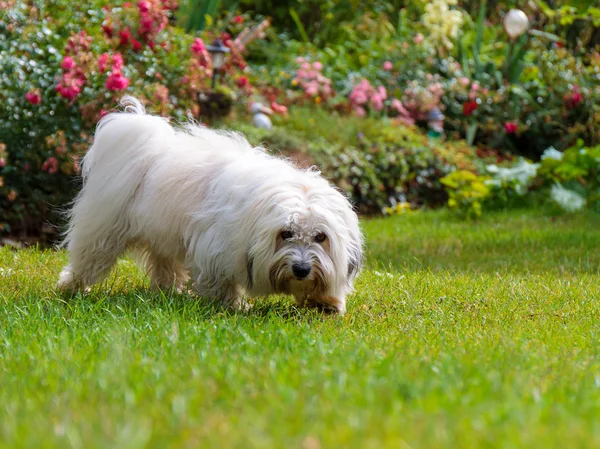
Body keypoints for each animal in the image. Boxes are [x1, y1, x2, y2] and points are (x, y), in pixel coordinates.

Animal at [58, 96, 364, 314]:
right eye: (285, 234)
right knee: (90, 257)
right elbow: (219, 281)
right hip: (105, 231)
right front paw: (231, 305)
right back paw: (73, 287)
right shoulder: (215, 247)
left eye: (321, 237)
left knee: (163, 262)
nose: (301, 269)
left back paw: (168, 290)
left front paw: (326, 302)